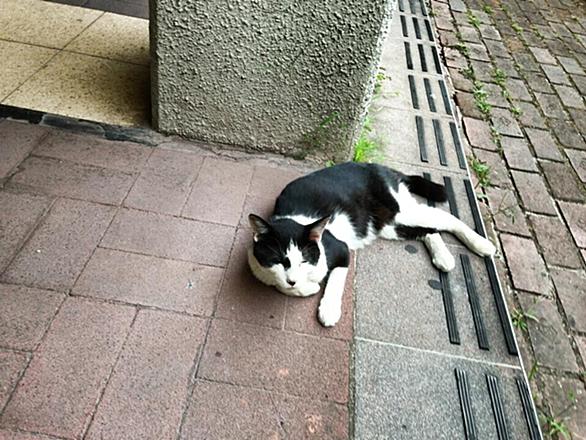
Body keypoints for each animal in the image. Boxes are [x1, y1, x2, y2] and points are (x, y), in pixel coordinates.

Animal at [248, 162, 495, 327]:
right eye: (280, 261)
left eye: (304, 260)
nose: (293, 279)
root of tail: (382, 168)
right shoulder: (257, 265)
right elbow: (280, 285)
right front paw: (305, 287)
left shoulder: (340, 250)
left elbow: (333, 282)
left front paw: (328, 310)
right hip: (389, 226)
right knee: (428, 230)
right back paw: (443, 257)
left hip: (401, 210)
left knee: (446, 218)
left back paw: (482, 244)